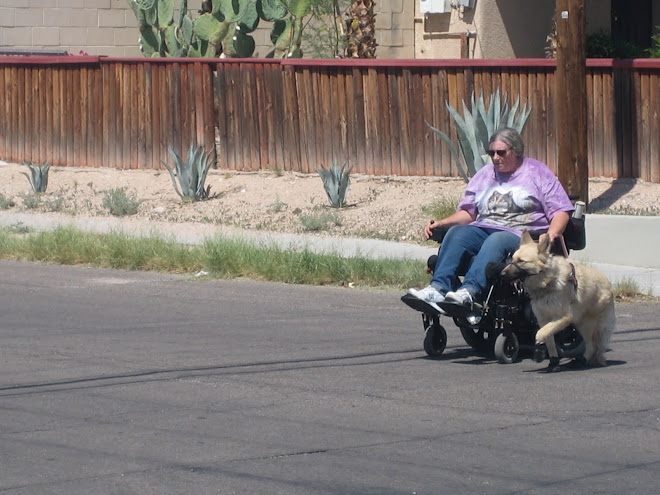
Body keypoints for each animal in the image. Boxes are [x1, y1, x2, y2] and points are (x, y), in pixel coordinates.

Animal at [502, 232, 616, 372]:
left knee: (592, 346)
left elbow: (542, 332)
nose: (501, 273)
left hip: (586, 324)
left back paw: (581, 360)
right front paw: (553, 362)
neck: (547, 283)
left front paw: (538, 341)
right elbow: (549, 340)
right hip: (580, 323)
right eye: (512, 260)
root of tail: (610, 286)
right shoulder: (543, 319)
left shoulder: (565, 317)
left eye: (521, 261)